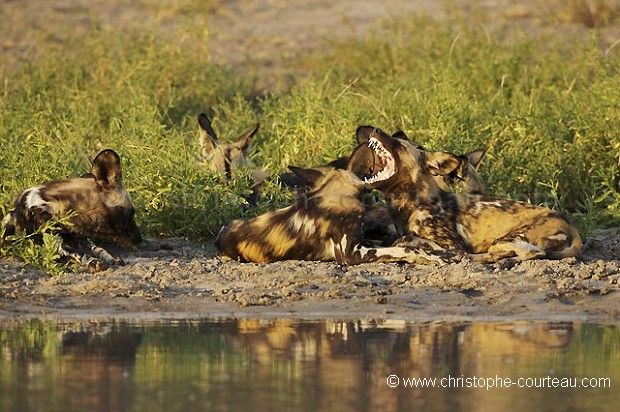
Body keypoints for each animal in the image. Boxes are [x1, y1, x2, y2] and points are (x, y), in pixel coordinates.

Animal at [1, 150, 142, 272]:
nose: (139, 239)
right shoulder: (56, 242)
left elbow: (97, 249)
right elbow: (80, 253)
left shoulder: (81, 236)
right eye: (130, 212)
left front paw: (110, 259)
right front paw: (92, 262)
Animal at [214, 165, 450, 264]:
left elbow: (402, 241)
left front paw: (433, 248)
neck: (334, 193)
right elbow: (402, 250)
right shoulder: (351, 254)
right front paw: (430, 257)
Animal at [356, 127, 584, 262]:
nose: (370, 129)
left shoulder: (453, 245)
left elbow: (405, 240)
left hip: (509, 238)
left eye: (398, 144)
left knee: (530, 252)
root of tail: (572, 227)